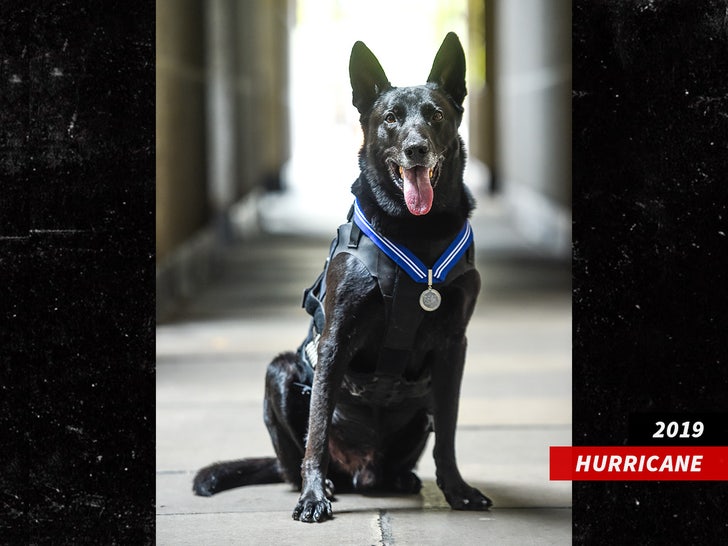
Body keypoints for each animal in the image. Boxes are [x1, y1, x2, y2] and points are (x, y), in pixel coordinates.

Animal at [193, 31, 492, 520]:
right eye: (390, 118)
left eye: (436, 115)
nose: (416, 149)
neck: (417, 233)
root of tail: (361, 471)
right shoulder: (334, 339)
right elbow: (316, 431)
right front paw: (313, 497)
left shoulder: (454, 346)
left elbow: (448, 430)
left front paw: (456, 489)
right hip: (280, 370)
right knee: (297, 460)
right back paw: (322, 484)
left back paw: (399, 479)